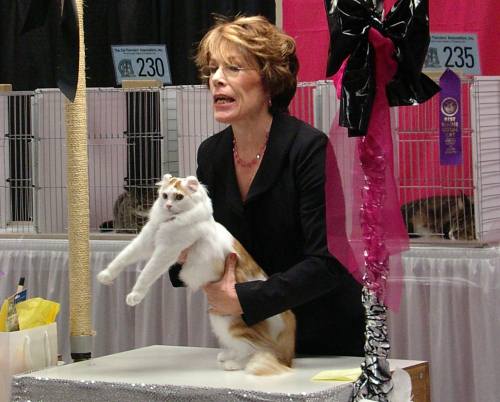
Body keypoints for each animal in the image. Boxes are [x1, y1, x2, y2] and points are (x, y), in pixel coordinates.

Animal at [95, 174, 294, 376]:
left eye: (179, 197)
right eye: (165, 195)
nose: (168, 205)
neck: (169, 220)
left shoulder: (166, 251)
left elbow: (147, 273)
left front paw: (134, 296)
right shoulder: (146, 241)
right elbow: (122, 258)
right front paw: (106, 276)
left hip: (232, 324)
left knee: (256, 349)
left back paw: (234, 364)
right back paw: (227, 356)